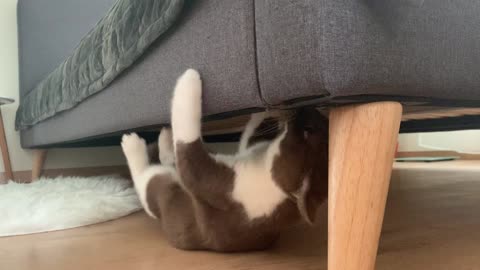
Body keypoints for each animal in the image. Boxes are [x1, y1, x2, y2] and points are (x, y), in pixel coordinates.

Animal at [122, 69, 328, 251]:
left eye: (308, 131)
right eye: (321, 122)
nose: (310, 107)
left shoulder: (205, 178)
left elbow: (187, 138)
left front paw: (189, 79)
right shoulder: (247, 151)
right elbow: (249, 134)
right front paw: (261, 111)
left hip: (162, 189)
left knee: (147, 178)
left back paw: (134, 144)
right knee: (168, 160)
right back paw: (164, 138)